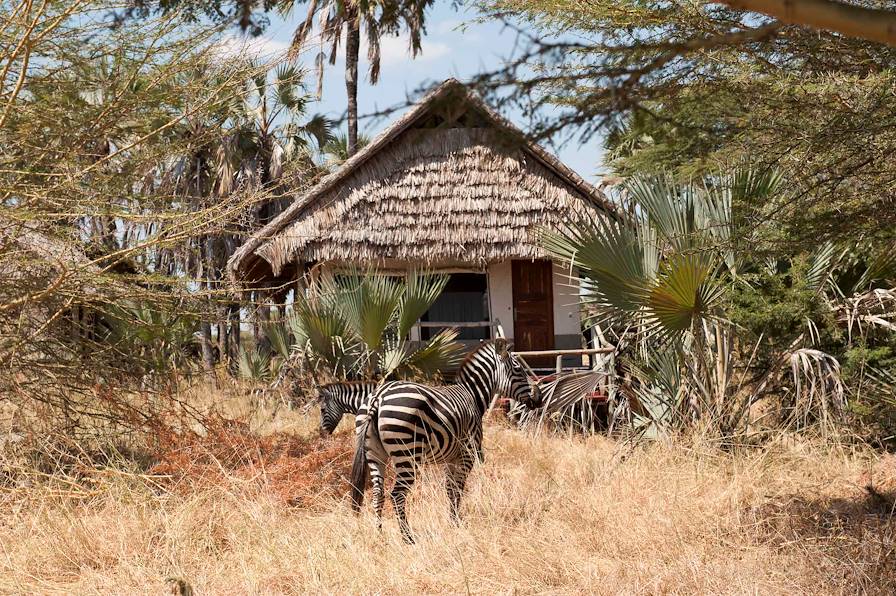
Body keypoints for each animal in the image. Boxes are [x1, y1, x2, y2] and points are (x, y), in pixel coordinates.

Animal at [348, 338, 540, 544]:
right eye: (519, 370)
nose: (538, 400)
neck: (472, 394)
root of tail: (378, 396)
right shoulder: (467, 454)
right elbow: (458, 488)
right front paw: (457, 523)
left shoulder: (451, 457)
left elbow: (449, 489)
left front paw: (453, 521)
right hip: (408, 453)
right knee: (397, 495)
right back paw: (408, 538)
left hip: (374, 454)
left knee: (378, 494)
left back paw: (379, 534)